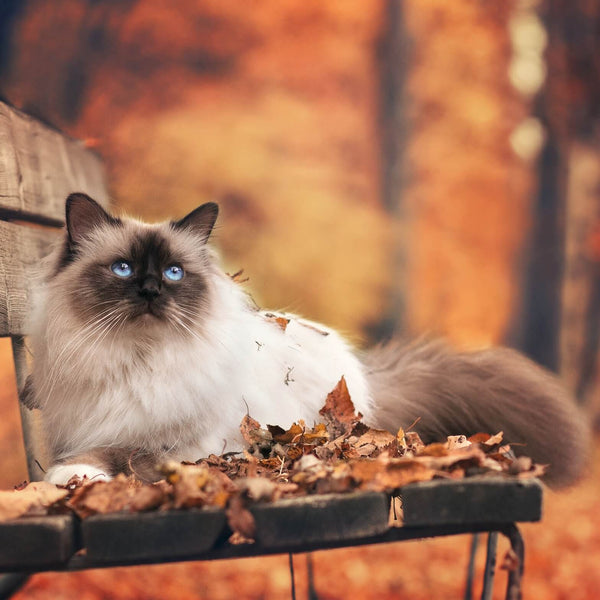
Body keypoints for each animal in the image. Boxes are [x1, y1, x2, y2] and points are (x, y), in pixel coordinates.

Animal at [24, 192, 592, 488]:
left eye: (173, 272)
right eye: (122, 269)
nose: (149, 291)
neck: (138, 360)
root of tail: (364, 378)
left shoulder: (185, 445)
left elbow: (119, 453)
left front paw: (72, 475)